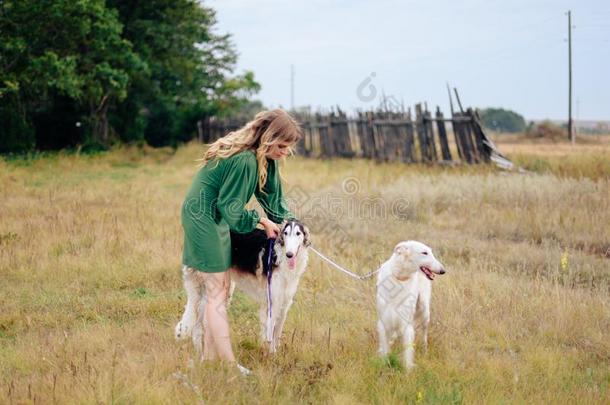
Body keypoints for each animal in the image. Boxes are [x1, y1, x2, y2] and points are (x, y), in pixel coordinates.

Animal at [175, 219, 308, 356]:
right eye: (285, 233)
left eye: (298, 233)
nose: (289, 254)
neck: (279, 256)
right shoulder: (272, 303)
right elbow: (270, 335)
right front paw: (271, 355)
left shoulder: (284, 303)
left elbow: (277, 333)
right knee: (197, 329)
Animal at [372, 240, 444, 370]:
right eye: (424, 252)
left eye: (430, 252)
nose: (443, 270)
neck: (400, 278)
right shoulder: (384, 322)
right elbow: (385, 349)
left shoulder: (406, 323)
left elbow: (407, 353)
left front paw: (407, 370)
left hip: (424, 310)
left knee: (424, 334)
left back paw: (425, 350)